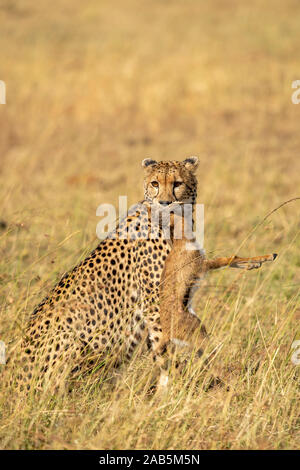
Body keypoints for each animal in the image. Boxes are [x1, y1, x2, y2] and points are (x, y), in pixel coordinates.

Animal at [11, 158, 278, 392]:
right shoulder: (156, 303)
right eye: (155, 183)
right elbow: (167, 355)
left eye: (177, 183)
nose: (165, 202)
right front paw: (173, 394)